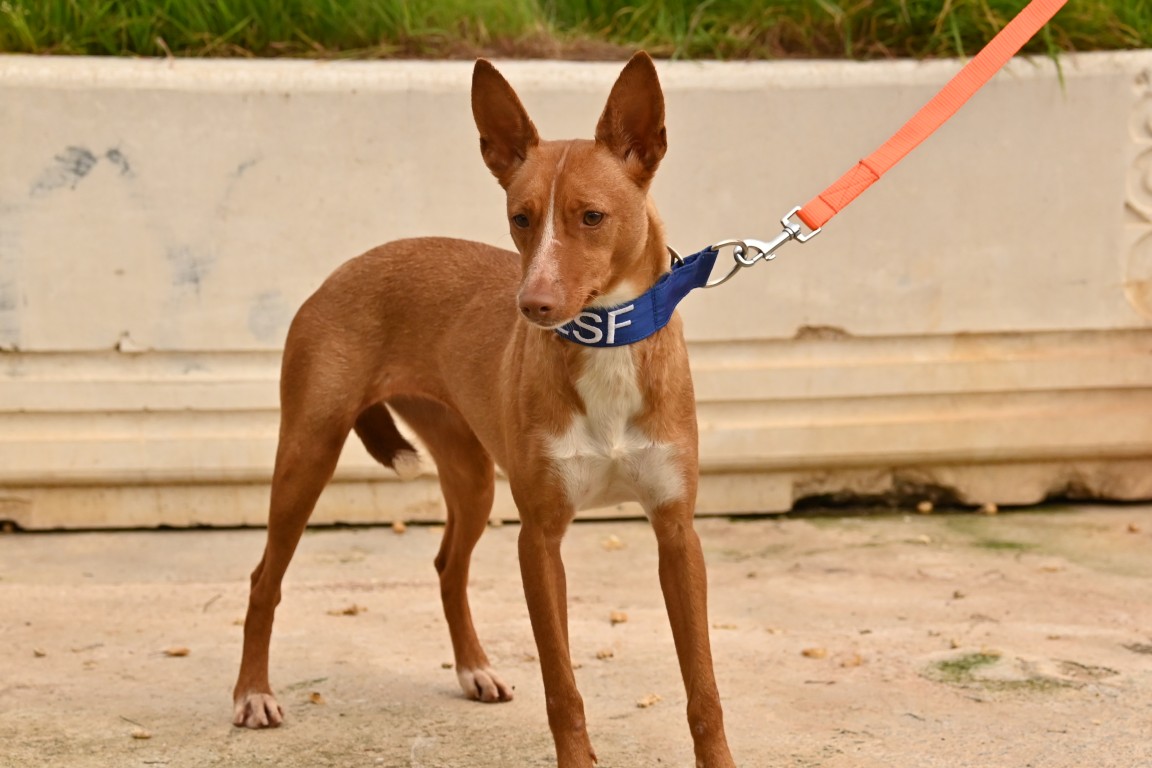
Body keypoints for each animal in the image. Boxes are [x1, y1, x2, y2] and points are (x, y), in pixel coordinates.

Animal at [232, 52, 736, 768]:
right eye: (520, 218)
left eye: (591, 216)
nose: (532, 306)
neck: (606, 343)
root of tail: (341, 272)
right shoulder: (540, 539)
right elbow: (563, 689)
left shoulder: (677, 534)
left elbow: (703, 688)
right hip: (309, 453)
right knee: (263, 579)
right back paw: (252, 694)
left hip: (469, 476)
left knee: (448, 568)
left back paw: (474, 670)